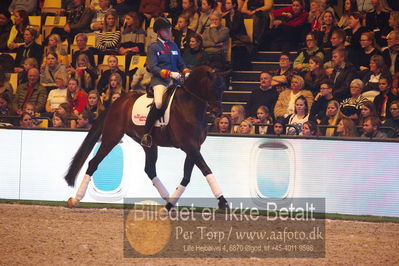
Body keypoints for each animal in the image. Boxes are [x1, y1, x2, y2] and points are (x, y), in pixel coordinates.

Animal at [64, 66, 230, 210]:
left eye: (223, 88)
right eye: (214, 87)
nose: (218, 113)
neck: (189, 105)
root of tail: (116, 102)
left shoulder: (194, 147)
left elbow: (187, 177)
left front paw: (169, 206)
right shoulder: (189, 145)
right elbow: (206, 169)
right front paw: (223, 202)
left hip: (148, 144)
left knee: (150, 169)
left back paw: (167, 198)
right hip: (112, 137)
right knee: (93, 163)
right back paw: (76, 199)